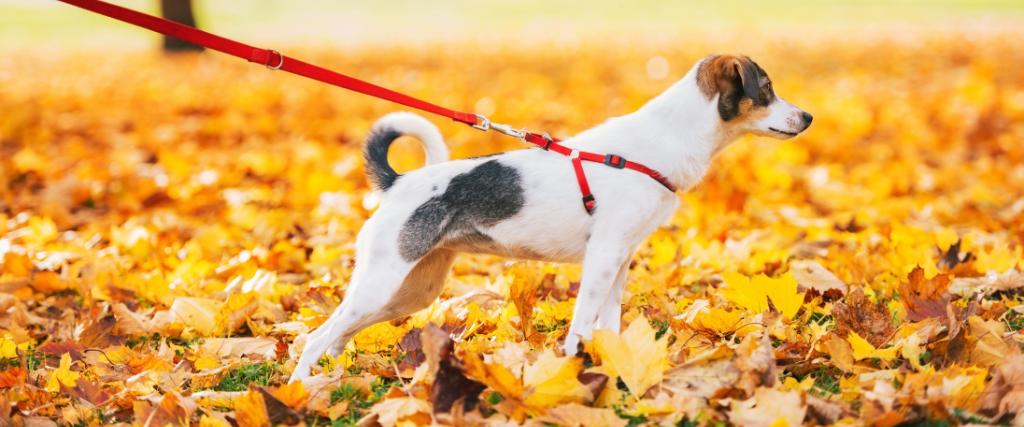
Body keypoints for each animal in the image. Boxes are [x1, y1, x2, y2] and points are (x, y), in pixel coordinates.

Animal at [290, 52, 815, 378]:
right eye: (767, 89)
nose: (808, 117)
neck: (658, 144)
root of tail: (398, 184)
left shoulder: (619, 260)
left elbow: (608, 326)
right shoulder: (601, 259)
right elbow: (582, 326)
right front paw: (575, 372)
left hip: (411, 292)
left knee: (337, 336)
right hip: (383, 283)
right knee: (317, 338)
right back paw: (301, 392)